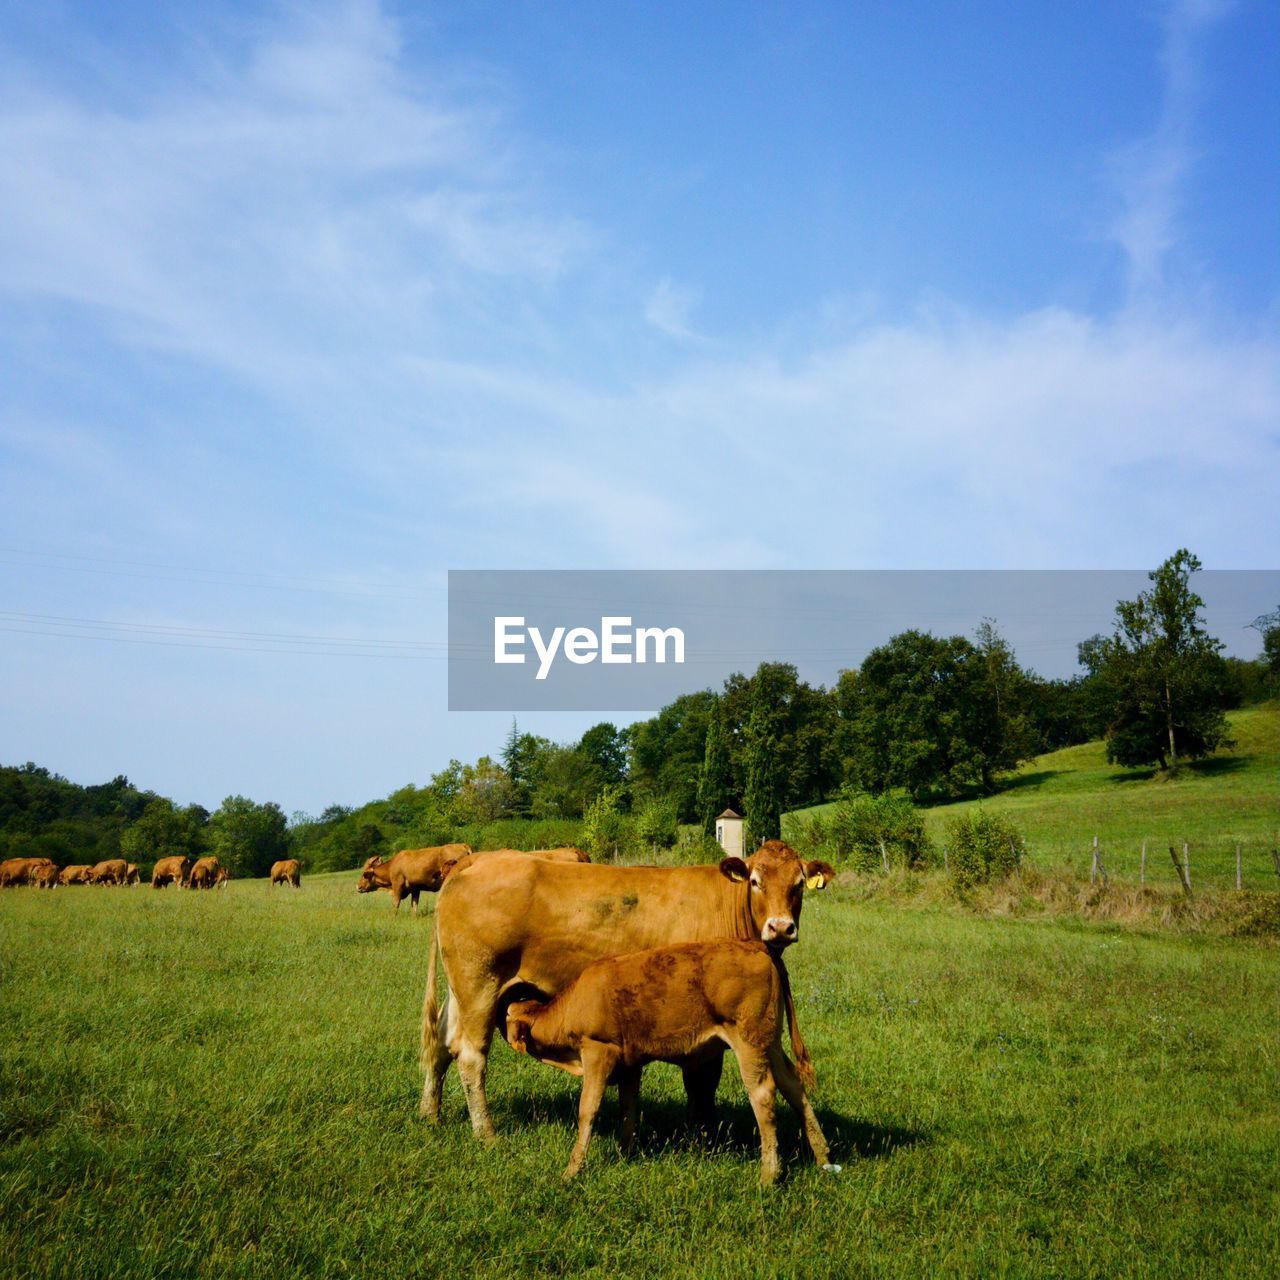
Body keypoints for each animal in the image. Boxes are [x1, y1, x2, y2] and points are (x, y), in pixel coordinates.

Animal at [422, 839, 839, 1141]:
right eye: (756, 881)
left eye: (798, 885)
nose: (780, 927)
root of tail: (477, 860)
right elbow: (701, 1085)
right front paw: (703, 1141)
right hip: (480, 984)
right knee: (470, 1056)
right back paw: (486, 1134)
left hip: (462, 990)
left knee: (441, 1045)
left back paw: (430, 1115)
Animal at [504, 936, 844, 1182]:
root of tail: (755, 945)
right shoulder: (631, 1063)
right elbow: (629, 1108)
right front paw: (625, 1152)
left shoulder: (598, 1052)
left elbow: (588, 1110)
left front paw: (572, 1171)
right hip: (769, 1042)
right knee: (793, 1087)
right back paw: (823, 1157)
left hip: (748, 1042)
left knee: (763, 1095)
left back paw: (769, 1175)